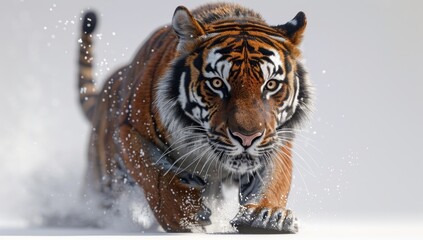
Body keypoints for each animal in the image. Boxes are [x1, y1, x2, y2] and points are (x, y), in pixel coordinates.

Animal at [78, 2, 312, 233]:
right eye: (217, 83)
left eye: (271, 85)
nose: (247, 138)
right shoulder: (129, 132)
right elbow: (155, 176)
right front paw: (184, 215)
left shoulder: (276, 138)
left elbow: (273, 181)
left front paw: (266, 215)